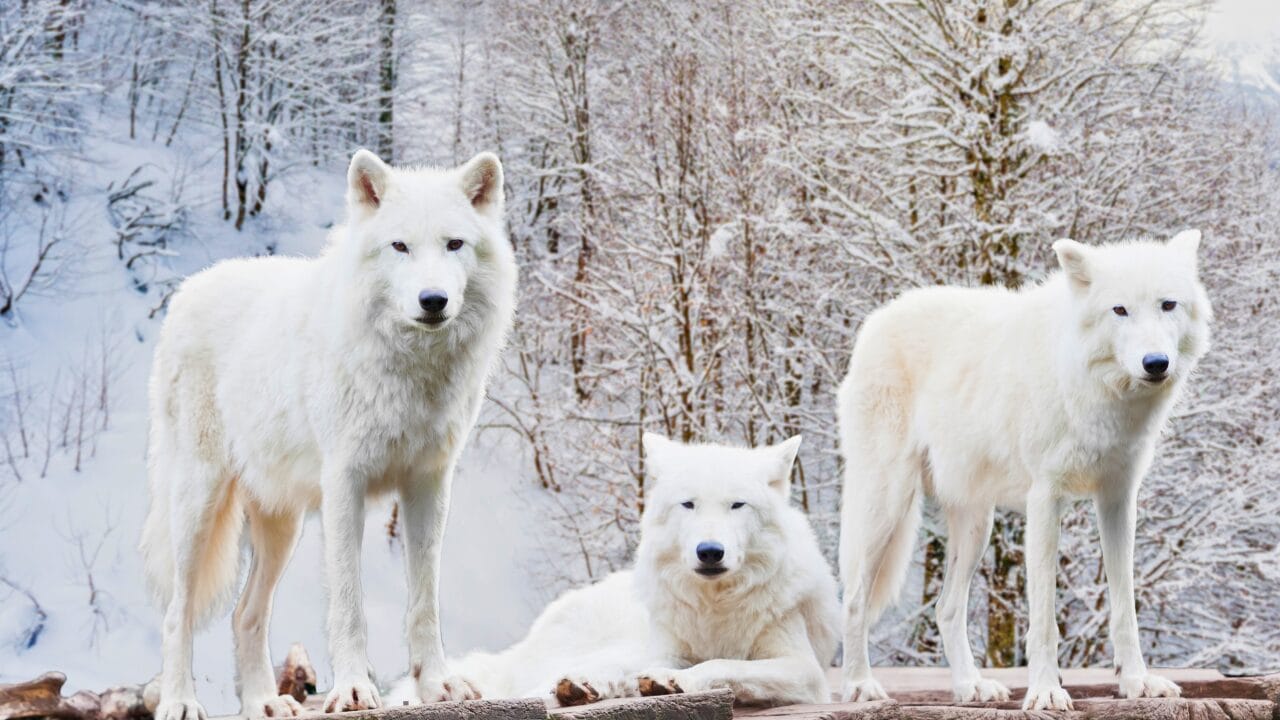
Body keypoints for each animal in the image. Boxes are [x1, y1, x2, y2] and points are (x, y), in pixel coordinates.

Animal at [138, 149, 517, 720]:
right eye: (400, 246)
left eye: (454, 244)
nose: (433, 300)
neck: (411, 371)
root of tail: (188, 288)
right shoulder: (345, 484)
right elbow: (349, 601)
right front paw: (355, 690)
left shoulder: (429, 485)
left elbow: (424, 602)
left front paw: (437, 685)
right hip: (197, 505)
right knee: (175, 612)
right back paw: (181, 701)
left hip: (281, 526)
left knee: (245, 614)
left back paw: (265, 704)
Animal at [426, 434, 839, 708]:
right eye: (688, 504)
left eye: (737, 505)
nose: (709, 551)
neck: (715, 606)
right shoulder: (667, 647)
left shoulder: (804, 668)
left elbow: (724, 664)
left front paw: (674, 681)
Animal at [837, 231, 1211, 710]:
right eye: (1120, 310)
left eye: (1168, 305)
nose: (1156, 362)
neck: (1094, 390)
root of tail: (879, 317)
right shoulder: (1045, 499)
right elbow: (1045, 620)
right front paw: (1047, 691)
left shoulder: (1118, 500)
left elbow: (1125, 608)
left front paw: (1136, 682)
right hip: (887, 504)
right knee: (854, 600)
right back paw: (860, 685)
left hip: (976, 525)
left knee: (946, 608)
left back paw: (971, 687)